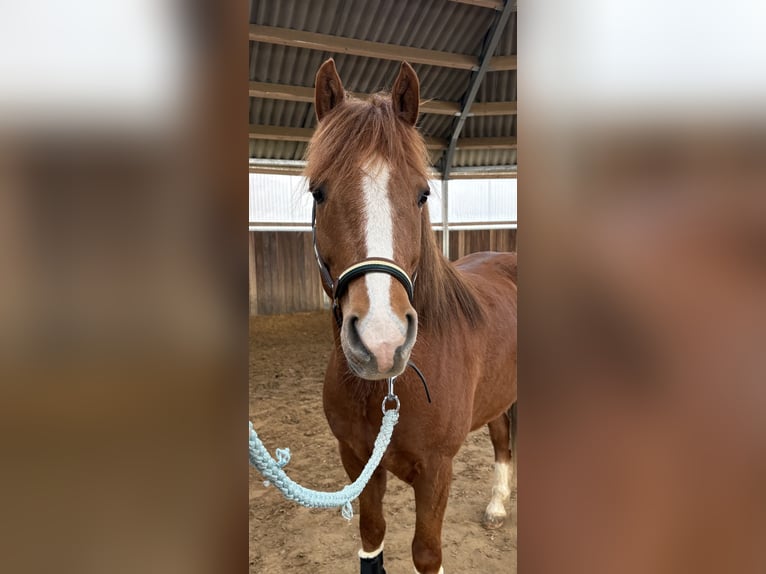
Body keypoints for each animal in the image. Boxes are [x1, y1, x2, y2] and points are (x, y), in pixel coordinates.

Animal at [306, 58, 517, 574]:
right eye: (319, 193)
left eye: (422, 194)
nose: (382, 343)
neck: (385, 391)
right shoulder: (357, 460)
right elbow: (372, 537)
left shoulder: (437, 471)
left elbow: (426, 552)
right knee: (502, 435)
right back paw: (497, 505)